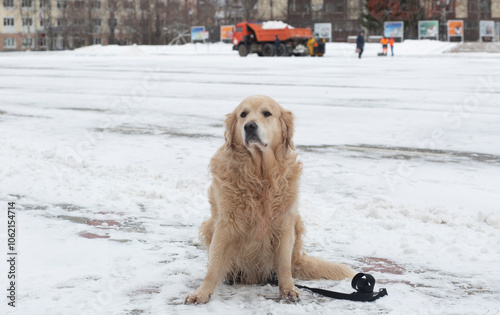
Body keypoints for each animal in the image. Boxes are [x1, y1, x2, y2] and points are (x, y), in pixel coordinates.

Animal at [185, 95, 356, 304]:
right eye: (243, 114)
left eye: (267, 113)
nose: (249, 126)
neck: (260, 175)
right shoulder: (226, 223)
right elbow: (214, 264)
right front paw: (202, 292)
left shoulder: (284, 224)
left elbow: (283, 265)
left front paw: (288, 289)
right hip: (210, 224)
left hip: (296, 223)